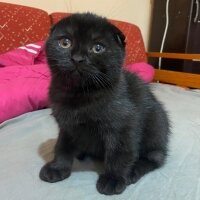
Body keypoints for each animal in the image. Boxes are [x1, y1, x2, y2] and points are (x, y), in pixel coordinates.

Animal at [39, 12, 170, 195]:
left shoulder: (122, 127)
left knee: (155, 157)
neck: (80, 95)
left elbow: (118, 153)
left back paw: (133, 170)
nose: (77, 59)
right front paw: (57, 167)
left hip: (156, 125)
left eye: (98, 48)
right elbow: (62, 146)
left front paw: (113, 179)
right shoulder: (66, 126)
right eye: (65, 43)